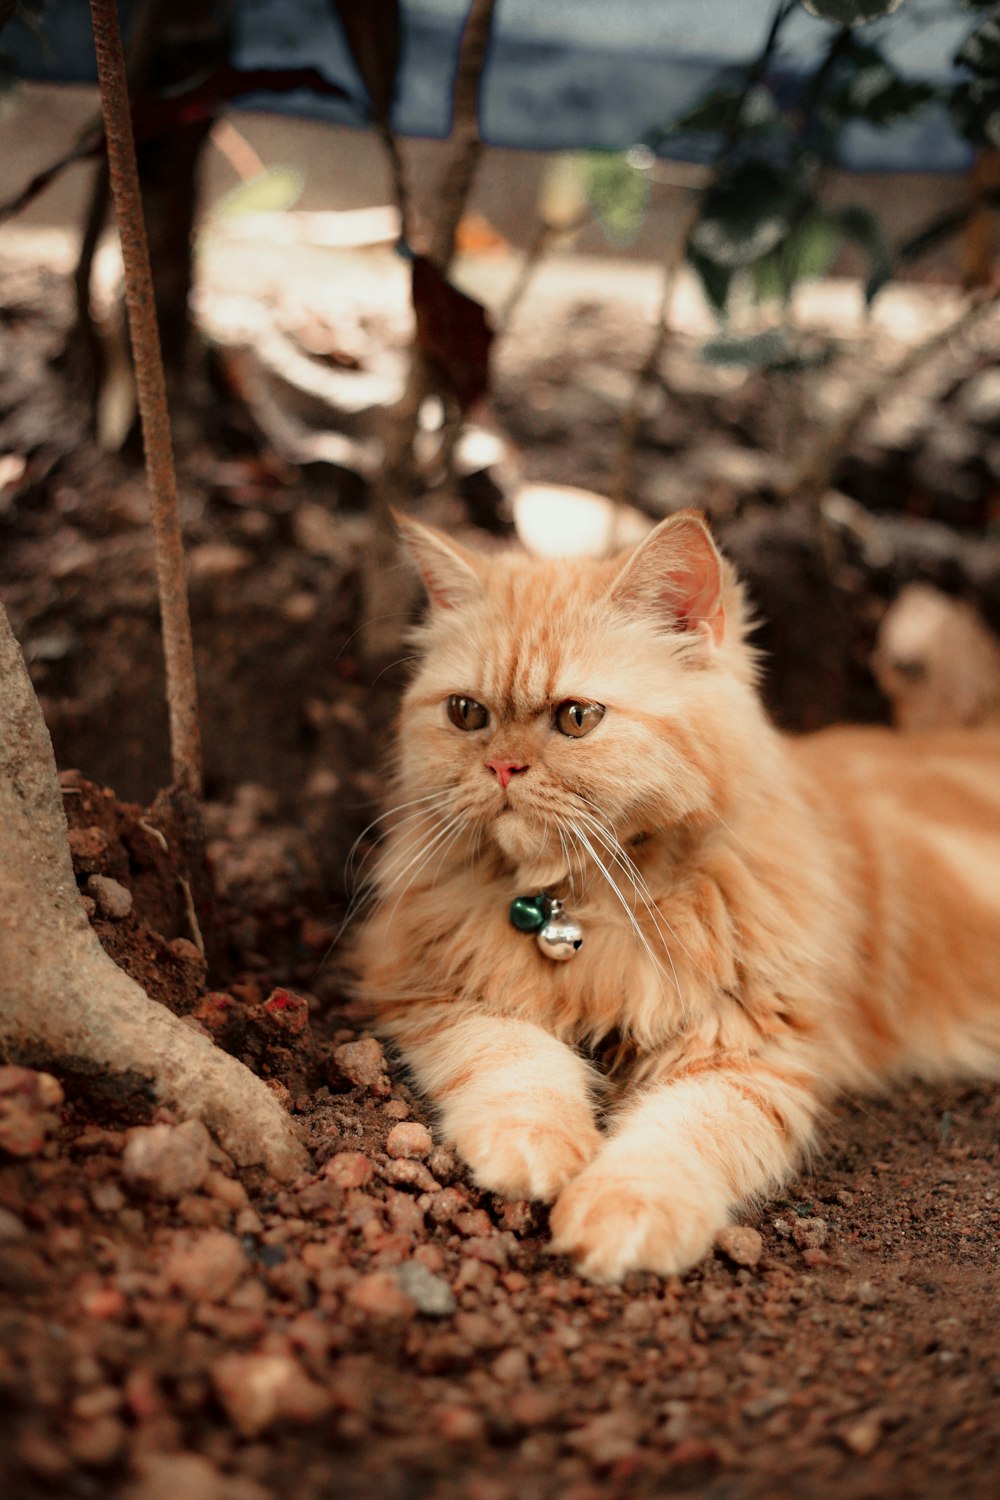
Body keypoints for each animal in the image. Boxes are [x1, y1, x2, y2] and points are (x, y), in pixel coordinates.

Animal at [355, 513, 1000, 1278]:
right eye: (465, 714)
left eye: (576, 718)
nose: (502, 767)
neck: (585, 901)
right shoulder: (435, 984)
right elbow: (516, 1059)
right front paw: (534, 1148)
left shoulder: (747, 1052)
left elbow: (679, 1138)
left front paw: (620, 1215)